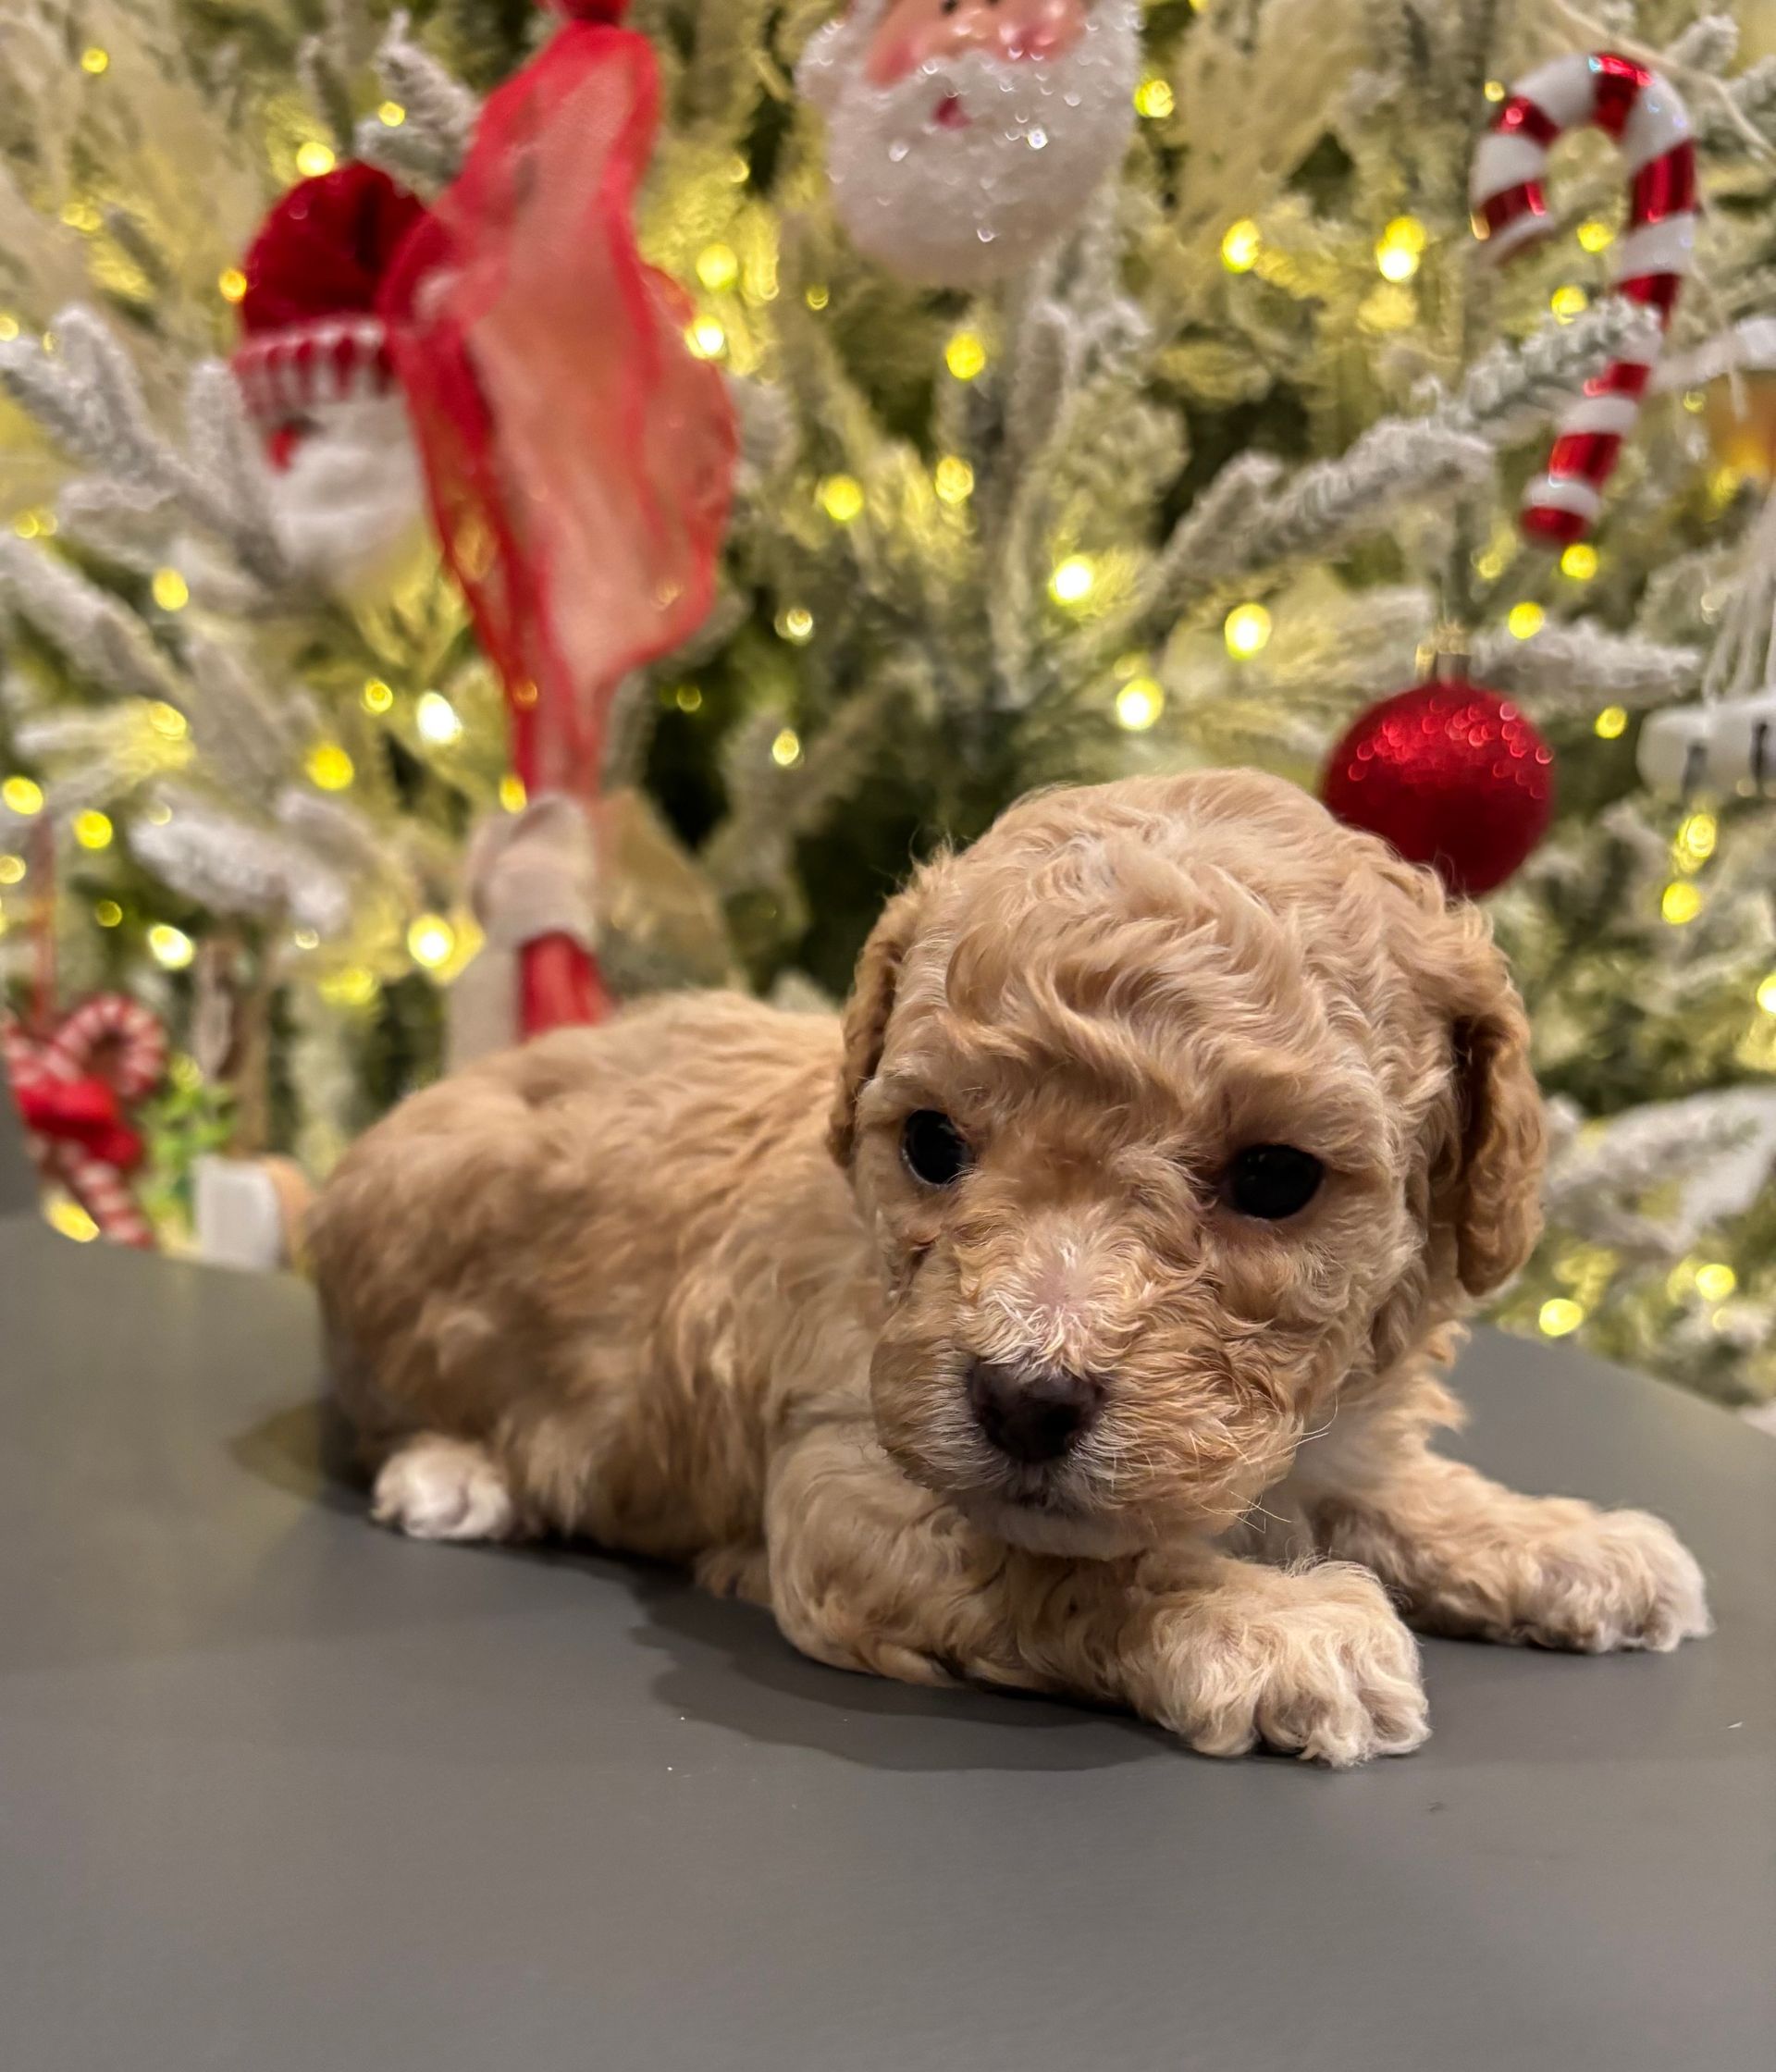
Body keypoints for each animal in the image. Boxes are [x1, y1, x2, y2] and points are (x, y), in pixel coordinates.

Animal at [309, 771, 1710, 1765]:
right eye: (933, 1144)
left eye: (1276, 1179)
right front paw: (1272, 1624)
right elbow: (1065, 1562)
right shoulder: (841, 1485)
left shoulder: (1331, 1439)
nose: (1025, 1401)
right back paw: (456, 1474)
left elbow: (1397, 1491)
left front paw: (1564, 1542)